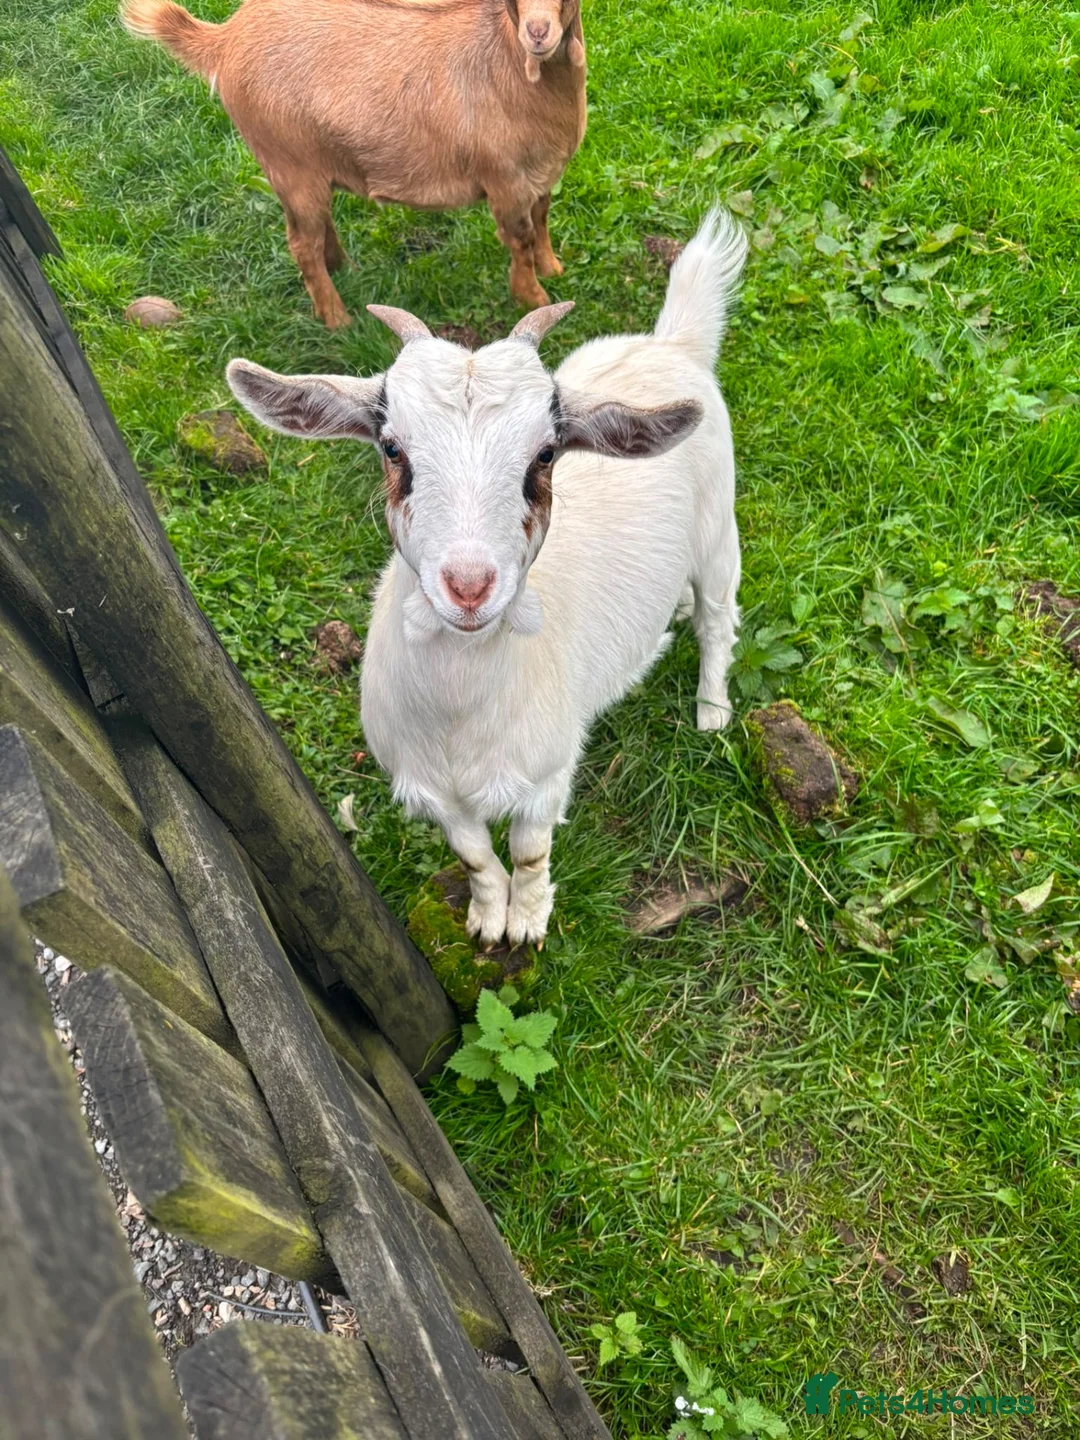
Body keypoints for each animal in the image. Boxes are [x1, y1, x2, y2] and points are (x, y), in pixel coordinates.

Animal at [121, 0, 587, 326]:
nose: (538, 33)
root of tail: (226, 38)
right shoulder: (505, 181)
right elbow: (520, 238)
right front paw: (535, 299)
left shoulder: (540, 174)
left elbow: (542, 219)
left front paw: (554, 269)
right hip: (288, 162)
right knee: (301, 245)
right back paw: (337, 319)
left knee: (315, 227)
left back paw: (344, 268)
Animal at [226, 210, 747, 948]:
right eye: (392, 447)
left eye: (546, 454)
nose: (469, 587)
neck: (459, 716)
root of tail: (672, 343)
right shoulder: (431, 791)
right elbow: (474, 856)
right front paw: (486, 917)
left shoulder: (546, 774)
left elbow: (529, 853)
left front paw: (526, 923)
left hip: (717, 530)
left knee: (718, 620)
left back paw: (711, 710)